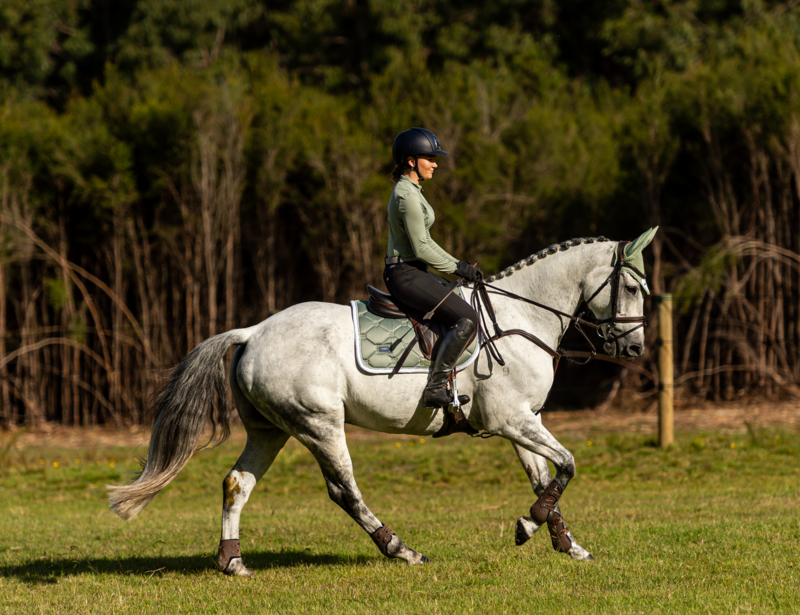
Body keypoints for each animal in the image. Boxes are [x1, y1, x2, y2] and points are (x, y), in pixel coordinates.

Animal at [106, 231, 656, 576]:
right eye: (630, 286)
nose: (633, 349)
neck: (520, 318)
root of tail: (254, 330)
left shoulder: (523, 421)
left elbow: (547, 479)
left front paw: (567, 545)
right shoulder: (512, 421)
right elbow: (568, 465)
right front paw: (527, 527)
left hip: (271, 429)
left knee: (237, 483)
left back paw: (234, 562)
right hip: (320, 425)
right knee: (344, 491)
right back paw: (401, 550)